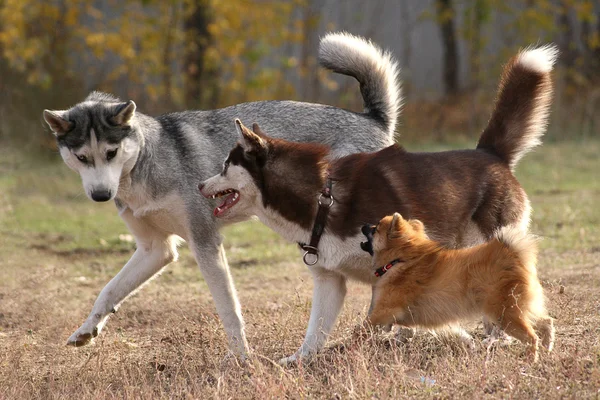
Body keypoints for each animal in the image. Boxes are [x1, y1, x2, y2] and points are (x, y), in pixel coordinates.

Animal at [41, 30, 398, 356]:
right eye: (82, 158)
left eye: (111, 153)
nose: (101, 194)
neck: (145, 165)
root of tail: (373, 119)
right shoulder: (155, 249)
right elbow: (109, 291)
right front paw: (87, 329)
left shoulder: (205, 243)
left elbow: (229, 309)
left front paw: (240, 357)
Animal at [360, 214, 552, 360]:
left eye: (375, 228)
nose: (364, 224)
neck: (399, 260)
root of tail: (512, 254)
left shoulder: (383, 311)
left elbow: (364, 326)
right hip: (516, 310)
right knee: (546, 322)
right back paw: (548, 347)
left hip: (504, 315)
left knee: (532, 337)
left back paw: (530, 360)